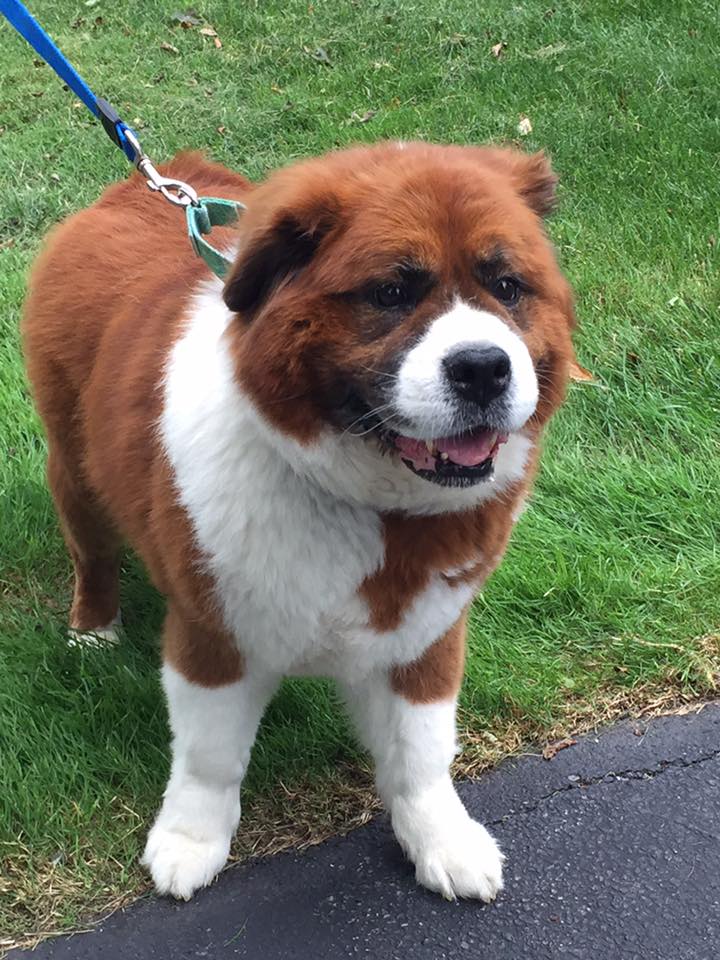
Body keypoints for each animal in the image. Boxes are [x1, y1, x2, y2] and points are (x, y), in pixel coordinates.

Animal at [21, 141, 572, 900]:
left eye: (509, 286)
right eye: (391, 292)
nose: (484, 367)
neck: (366, 500)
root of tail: (146, 186)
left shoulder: (426, 633)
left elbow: (422, 751)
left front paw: (440, 837)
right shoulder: (213, 633)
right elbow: (210, 757)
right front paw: (190, 842)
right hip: (74, 467)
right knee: (91, 551)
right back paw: (94, 630)